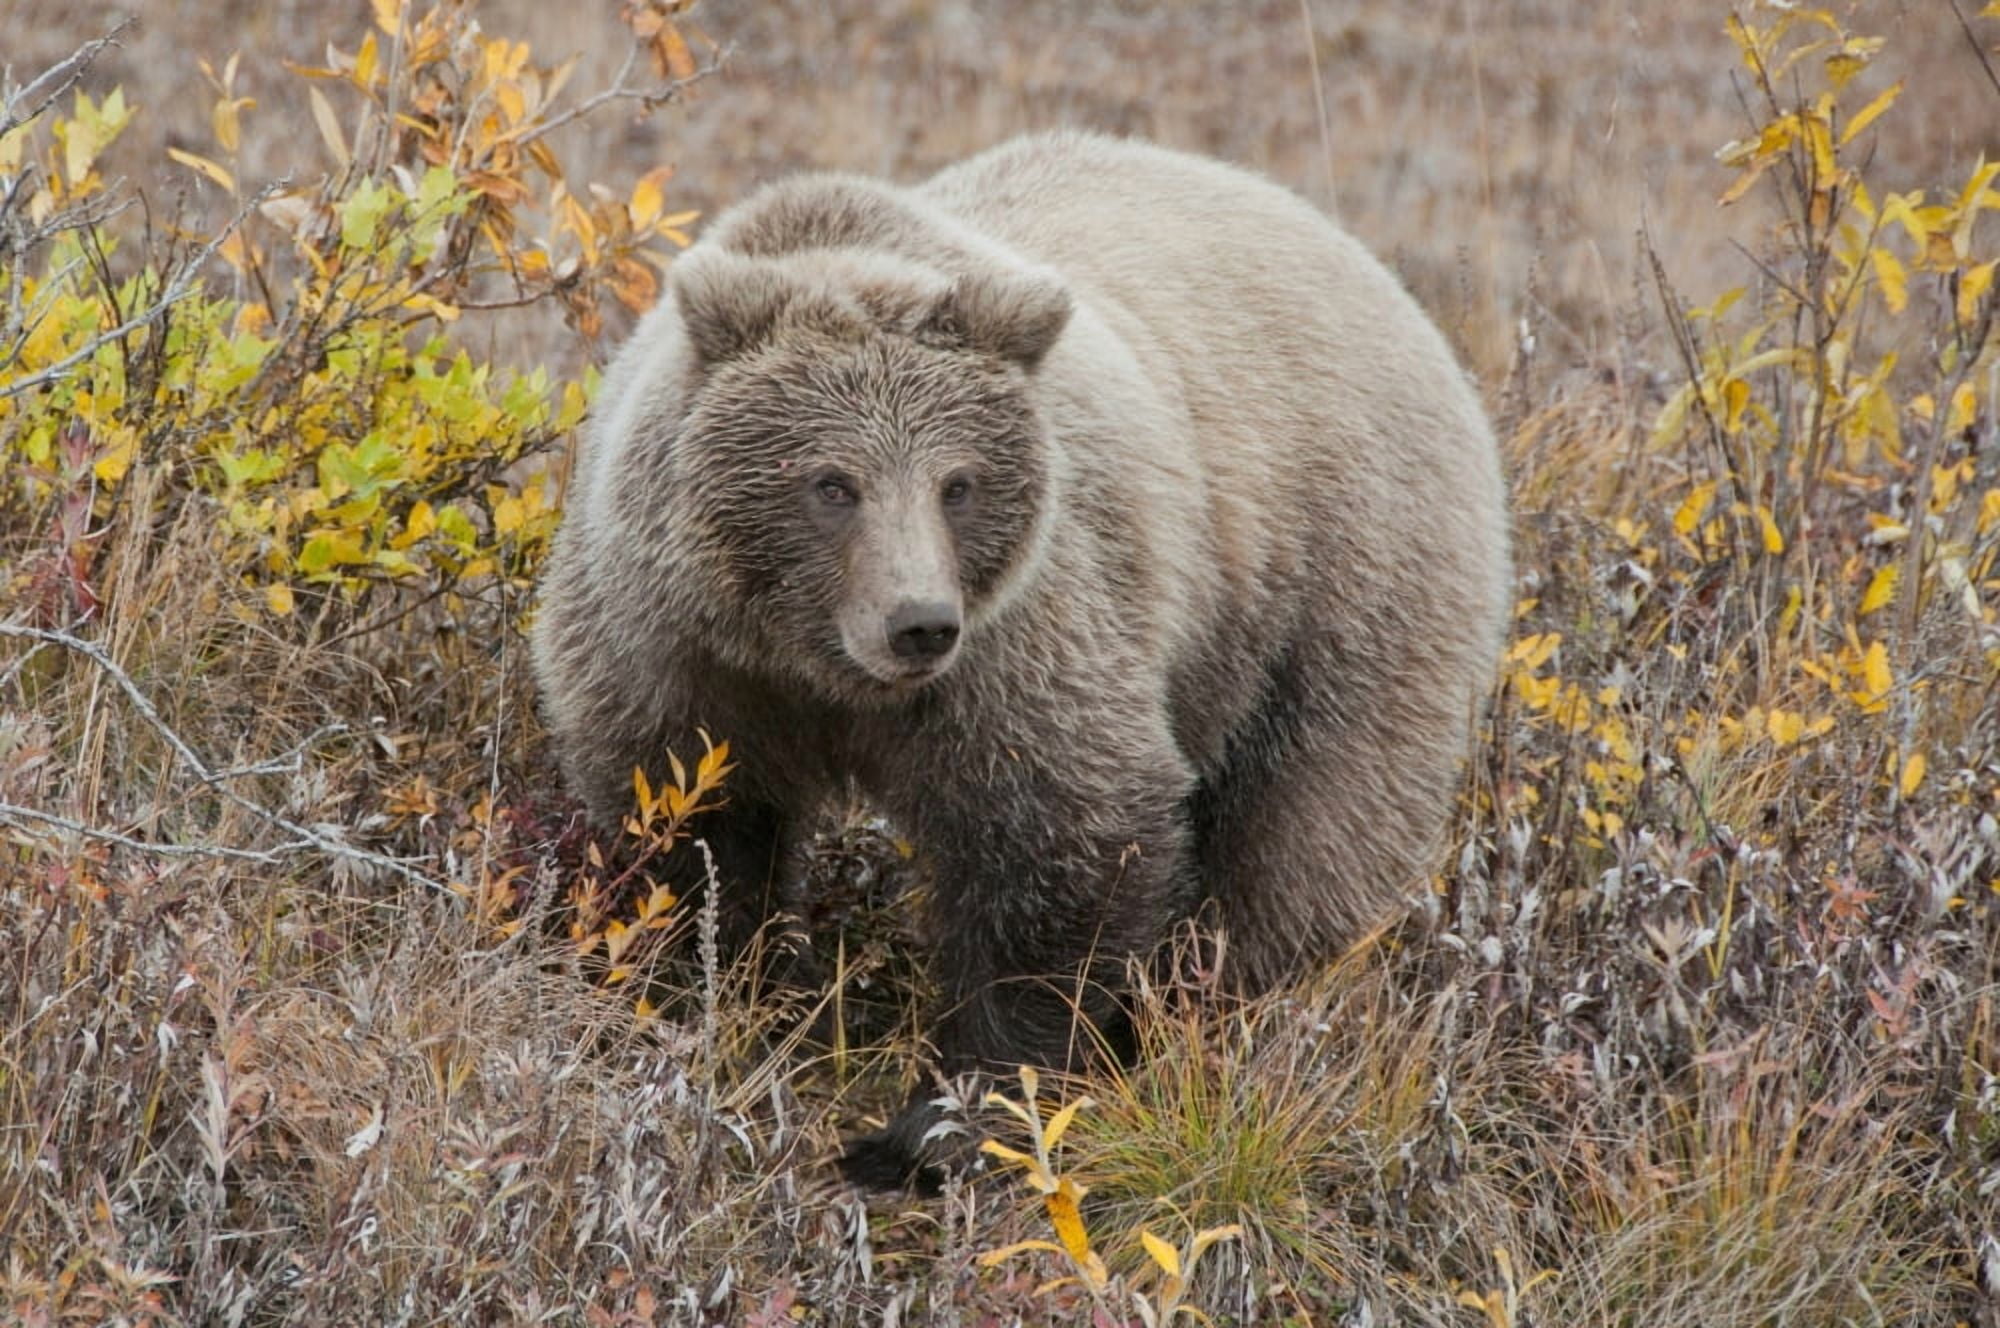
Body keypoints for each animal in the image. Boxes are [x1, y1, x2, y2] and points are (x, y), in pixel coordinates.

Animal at [530, 131, 1512, 1187]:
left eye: (957, 484)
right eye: (831, 483)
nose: (919, 622)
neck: (816, 663)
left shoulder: (1021, 645)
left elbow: (1063, 835)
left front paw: (938, 1127)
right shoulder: (674, 651)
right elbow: (690, 832)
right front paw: (716, 1007)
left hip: (1341, 591)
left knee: (1305, 840)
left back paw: (1213, 1021)